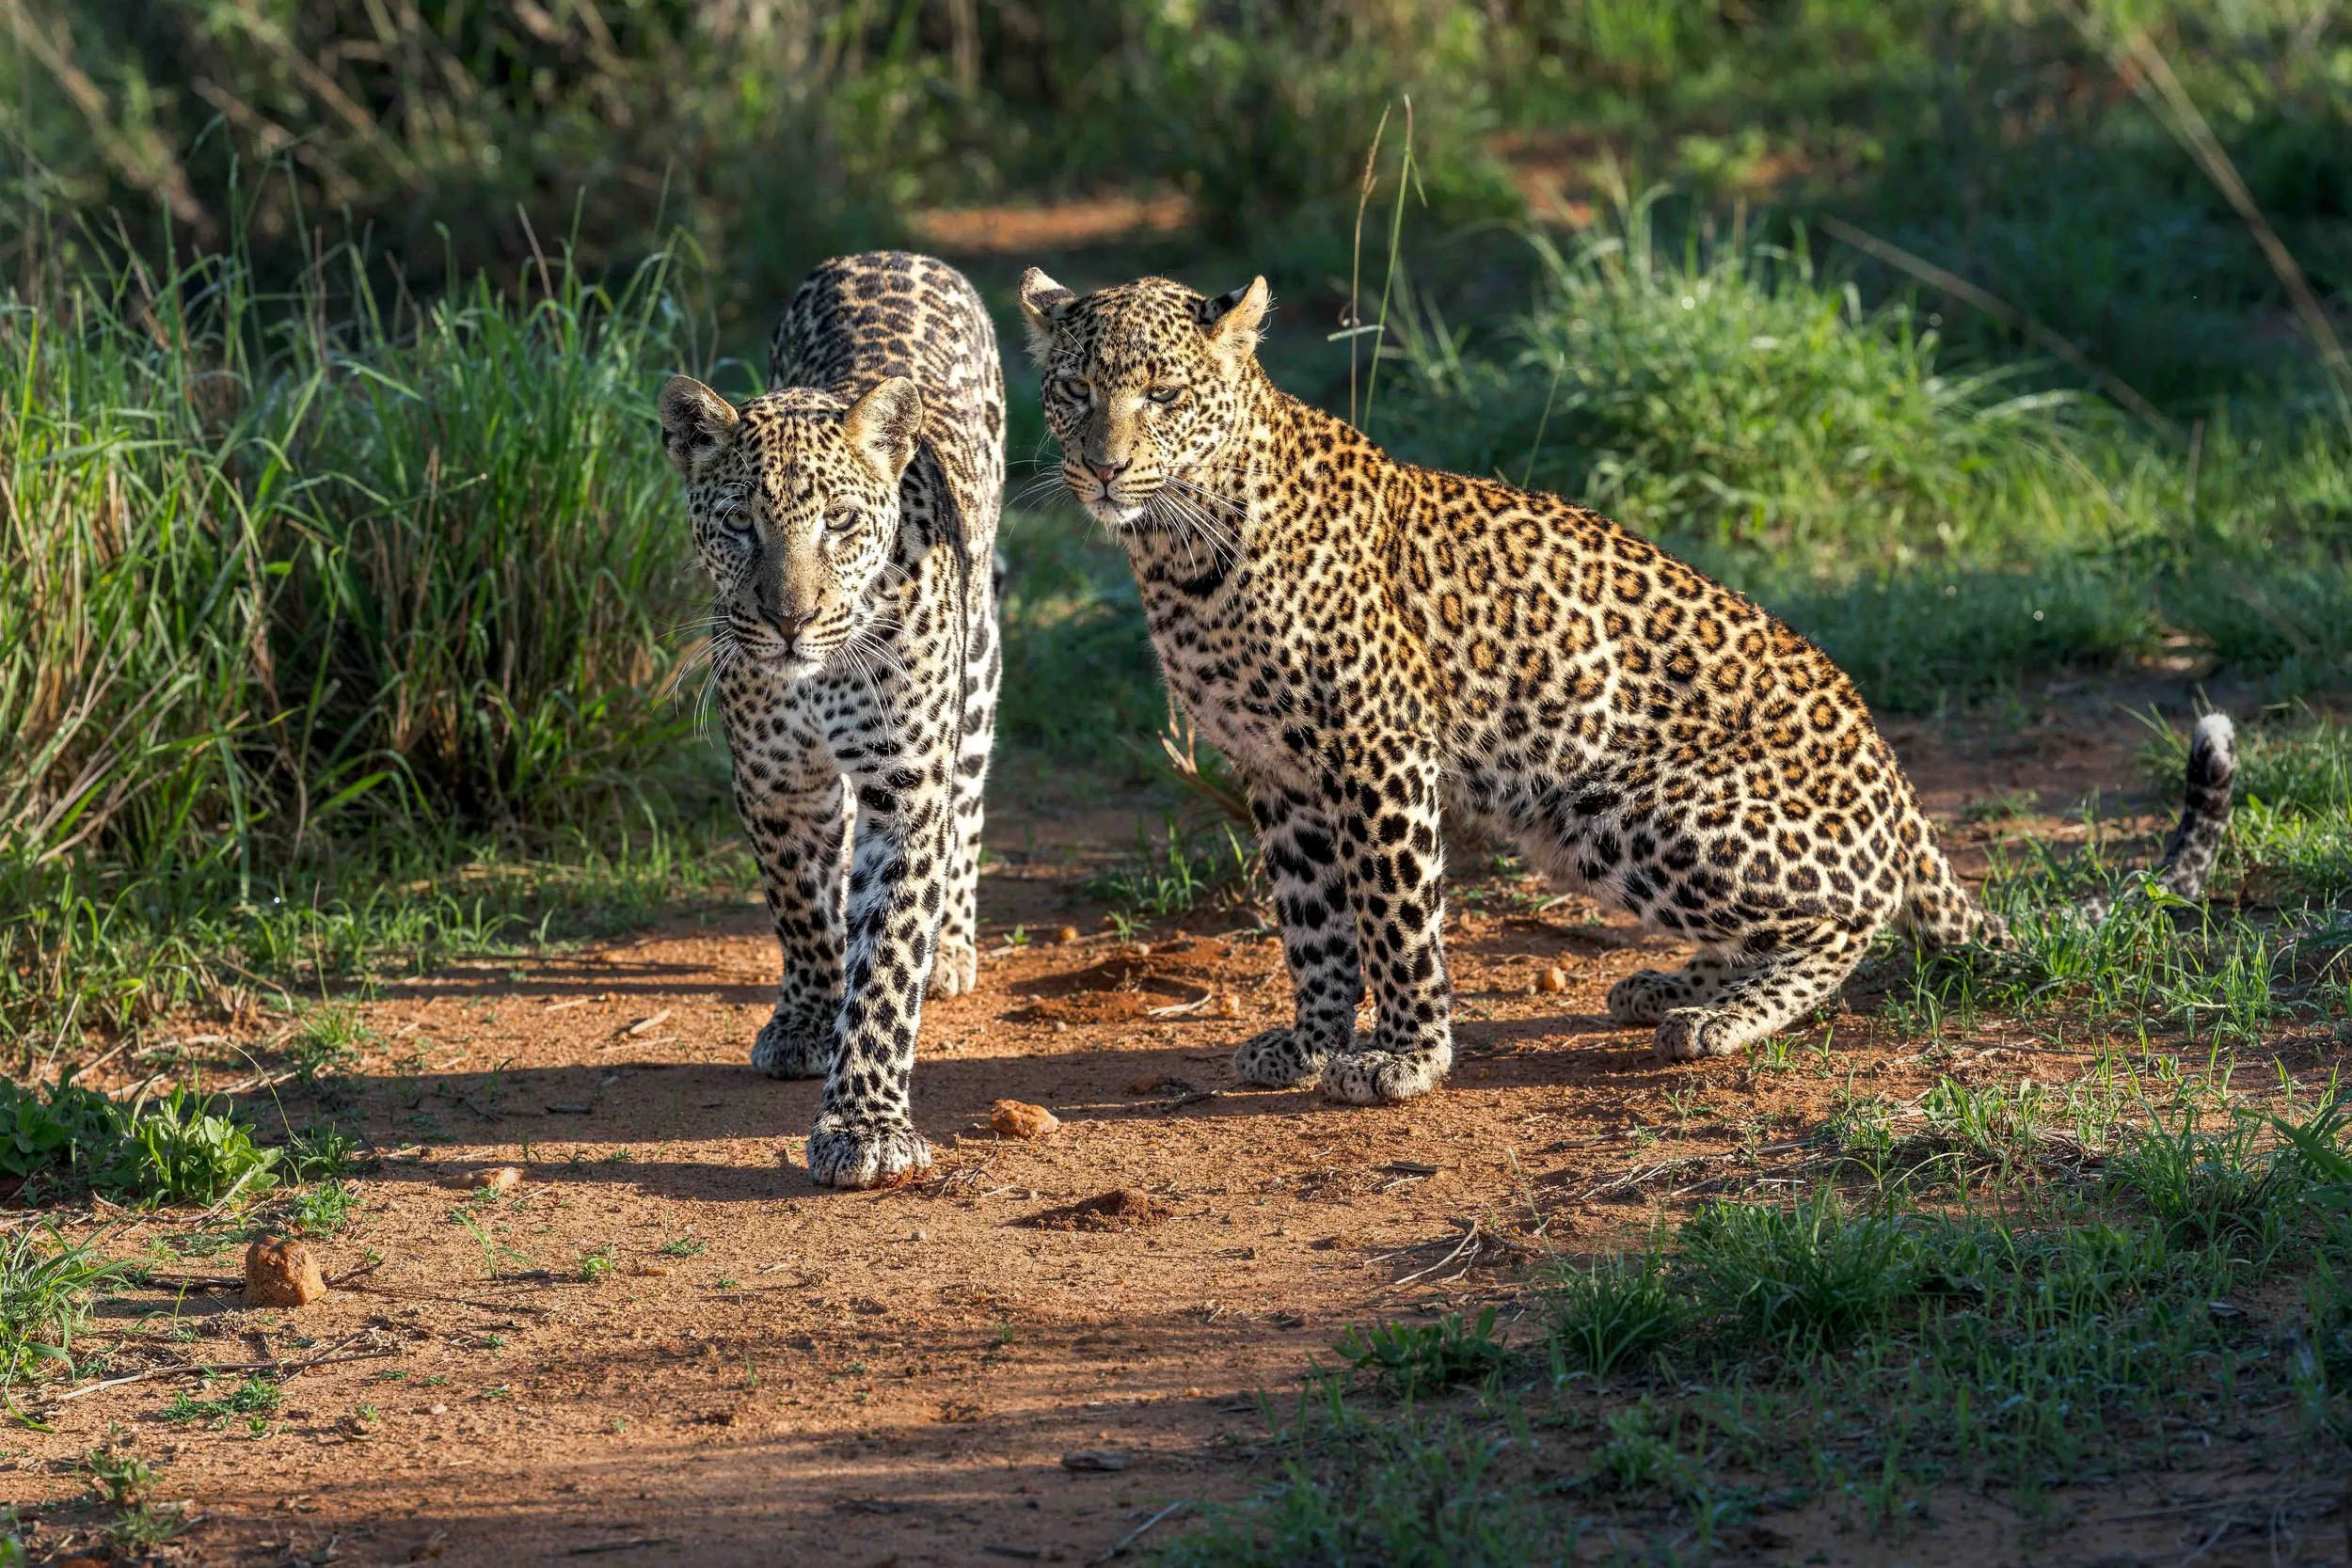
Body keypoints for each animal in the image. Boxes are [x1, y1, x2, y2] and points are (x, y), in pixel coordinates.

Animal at [660, 251, 1004, 1187]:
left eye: (840, 522)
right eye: (740, 523)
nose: (790, 619)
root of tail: (891, 252)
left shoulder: (904, 788)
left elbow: (886, 962)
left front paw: (866, 1123)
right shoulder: (775, 781)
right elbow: (800, 908)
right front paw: (808, 1019)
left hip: (979, 671)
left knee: (969, 797)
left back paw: (953, 946)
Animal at [1016, 266, 2233, 1102]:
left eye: (1165, 394)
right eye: (1073, 389)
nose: (1103, 465)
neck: (1180, 553)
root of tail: (1898, 793)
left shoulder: (1375, 753)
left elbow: (1395, 921)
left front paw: (1408, 1056)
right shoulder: (1279, 775)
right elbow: (1312, 926)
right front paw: (1311, 1040)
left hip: (1631, 802)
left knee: (1858, 915)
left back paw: (1717, 1018)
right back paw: (1675, 982)